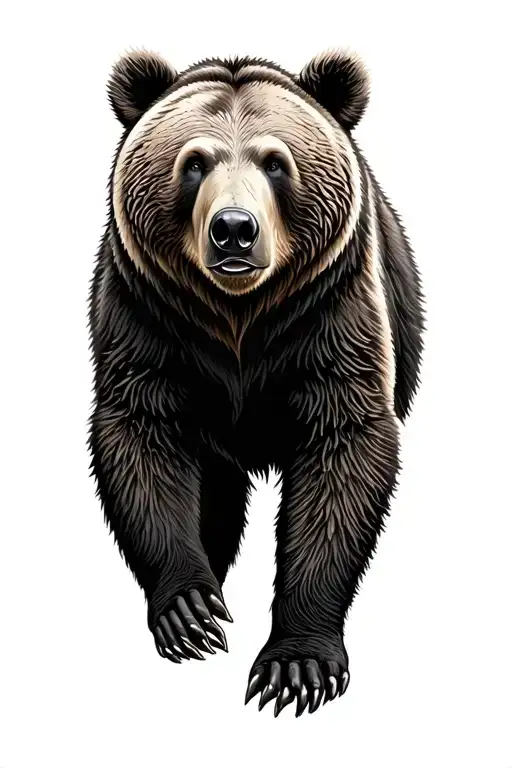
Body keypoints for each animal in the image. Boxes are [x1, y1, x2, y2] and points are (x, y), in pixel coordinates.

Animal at [88, 47, 425, 717]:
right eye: (194, 162)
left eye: (275, 161)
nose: (235, 229)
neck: (240, 317)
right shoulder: (146, 313)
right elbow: (141, 429)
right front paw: (190, 612)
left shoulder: (331, 311)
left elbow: (343, 445)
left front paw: (297, 664)